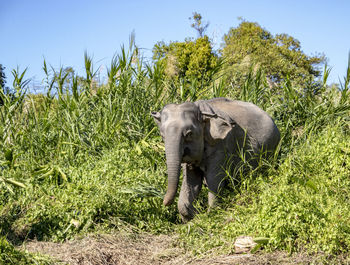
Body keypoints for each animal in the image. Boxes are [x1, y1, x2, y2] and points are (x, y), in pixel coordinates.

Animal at [152, 97, 280, 221]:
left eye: (189, 134)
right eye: (162, 135)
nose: (163, 202)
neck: (201, 110)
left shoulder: (221, 145)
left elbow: (214, 178)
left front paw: (210, 214)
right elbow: (191, 180)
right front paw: (193, 215)